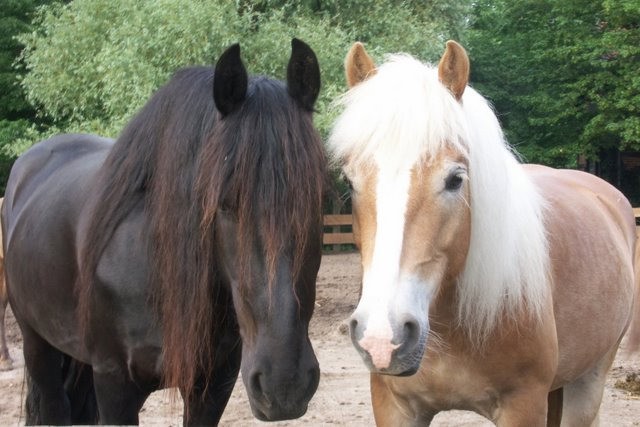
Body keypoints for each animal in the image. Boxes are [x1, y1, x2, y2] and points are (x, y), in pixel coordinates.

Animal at [2, 38, 327, 425]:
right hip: (38, 347)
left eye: (318, 198)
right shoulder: (114, 382)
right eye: (224, 203)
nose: (285, 383)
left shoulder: (213, 384)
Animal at [328, 40, 640, 426]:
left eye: (455, 179)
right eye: (349, 181)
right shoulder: (394, 406)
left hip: (590, 378)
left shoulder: (523, 405)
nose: (383, 337)